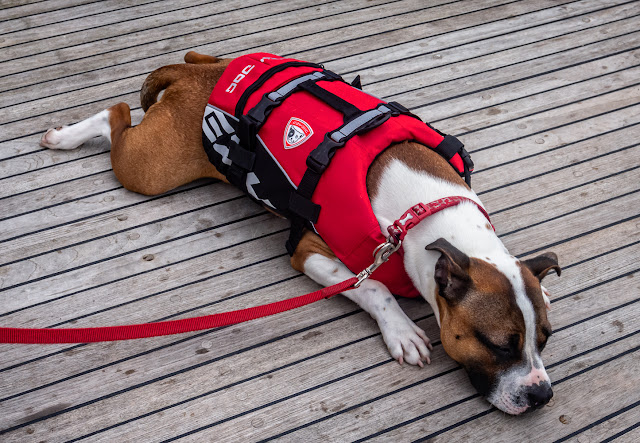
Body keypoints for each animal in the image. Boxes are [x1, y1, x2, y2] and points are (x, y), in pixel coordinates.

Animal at [40, 52, 560, 416]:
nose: (542, 395)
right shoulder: (310, 250)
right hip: (149, 169)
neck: (425, 214)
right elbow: (373, 287)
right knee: (116, 113)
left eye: (545, 340)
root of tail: (200, 78)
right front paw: (402, 332)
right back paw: (65, 137)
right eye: (498, 345)